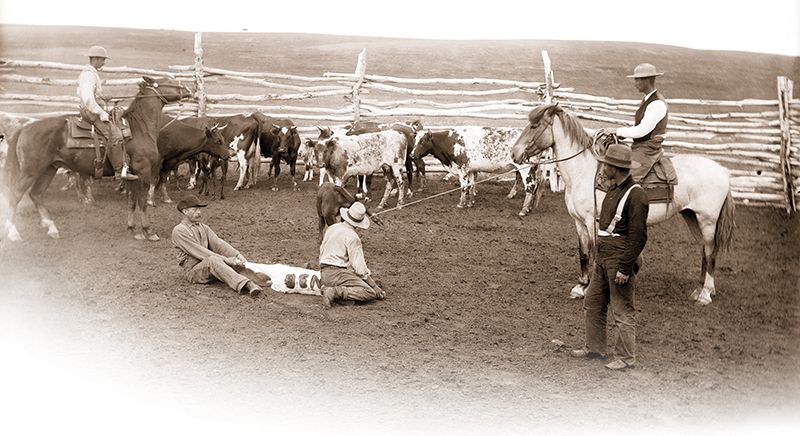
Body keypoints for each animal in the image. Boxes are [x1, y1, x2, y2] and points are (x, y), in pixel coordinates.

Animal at [2, 76, 192, 241]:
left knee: (36, 195)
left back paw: (52, 228)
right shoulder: (143, 171)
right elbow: (143, 201)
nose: (190, 89)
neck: (140, 128)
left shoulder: (131, 175)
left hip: (49, 169)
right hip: (30, 172)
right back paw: (13, 233)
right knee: (15, 195)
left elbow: (131, 201)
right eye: (168, 81)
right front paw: (148, 231)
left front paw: (133, 230)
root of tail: (25, 128)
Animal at [510, 104, 735, 305]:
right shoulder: (579, 222)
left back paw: (705, 295)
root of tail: (723, 170)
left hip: (707, 220)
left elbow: (595, 253)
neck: (584, 172)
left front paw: (590, 288)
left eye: (534, 126)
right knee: (704, 250)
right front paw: (580, 287)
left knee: (710, 252)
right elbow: (583, 253)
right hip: (691, 216)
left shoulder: (593, 220)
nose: (514, 153)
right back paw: (699, 290)